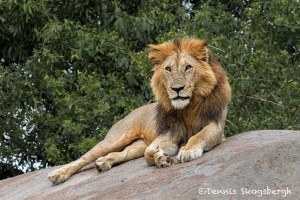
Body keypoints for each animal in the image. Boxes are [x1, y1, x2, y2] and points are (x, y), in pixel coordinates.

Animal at [48, 37, 232, 184]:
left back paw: (103, 163)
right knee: (83, 158)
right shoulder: (169, 133)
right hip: (115, 139)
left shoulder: (215, 125)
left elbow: (198, 136)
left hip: (134, 145)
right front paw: (161, 158)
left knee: (121, 154)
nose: (177, 89)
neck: (188, 107)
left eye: (188, 67)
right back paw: (58, 174)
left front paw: (188, 151)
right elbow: (148, 151)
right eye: (168, 69)